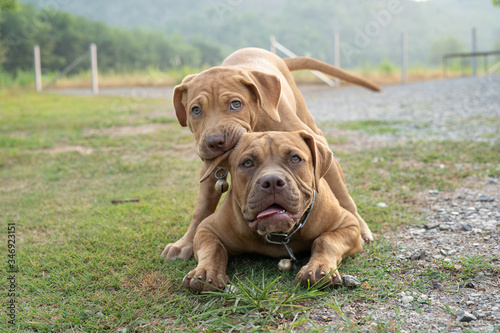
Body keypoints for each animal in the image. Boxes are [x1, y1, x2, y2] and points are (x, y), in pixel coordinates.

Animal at [162, 46, 376, 260]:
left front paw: (359, 226)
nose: (215, 142)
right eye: (195, 111)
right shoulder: (210, 170)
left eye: (236, 104)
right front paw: (186, 242)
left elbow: (343, 196)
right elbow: (202, 208)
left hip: (309, 123)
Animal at [182, 130, 362, 290]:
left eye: (295, 158)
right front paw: (206, 272)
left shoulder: (348, 225)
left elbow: (325, 240)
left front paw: (319, 267)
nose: (272, 181)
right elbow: (214, 248)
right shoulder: (206, 229)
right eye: (248, 162)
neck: (279, 234)